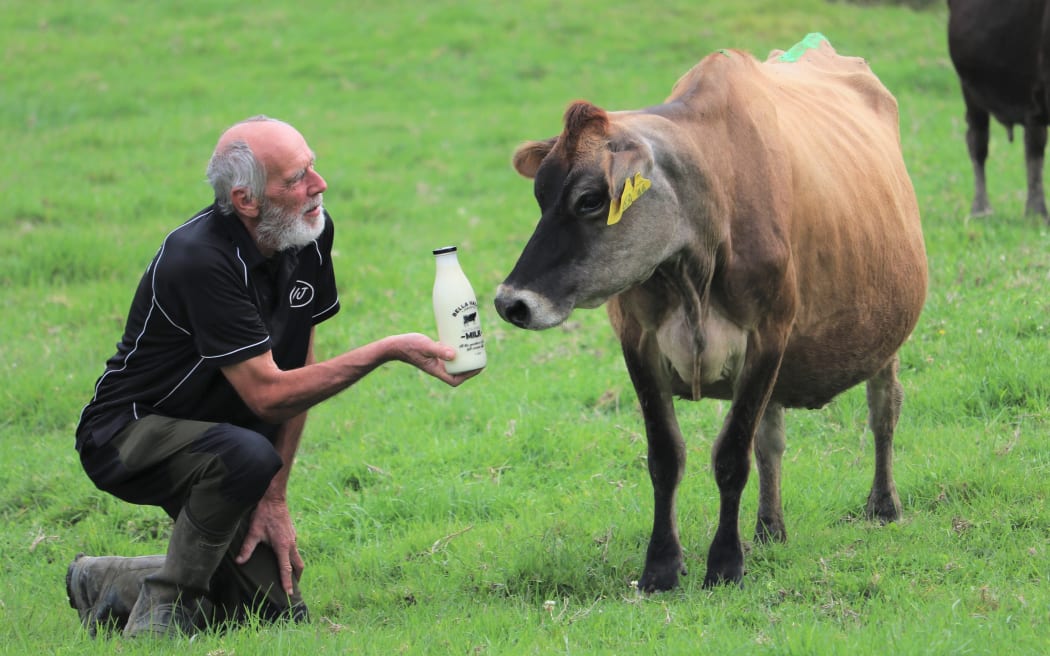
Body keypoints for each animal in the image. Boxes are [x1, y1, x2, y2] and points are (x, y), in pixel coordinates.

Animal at [493, 34, 928, 591]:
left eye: (590, 199)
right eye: (540, 195)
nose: (511, 302)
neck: (692, 267)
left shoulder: (768, 337)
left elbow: (731, 455)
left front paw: (724, 563)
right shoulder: (638, 342)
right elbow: (667, 455)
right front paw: (661, 565)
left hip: (887, 336)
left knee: (884, 410)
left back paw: (883, 504)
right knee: (772, 439)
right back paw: (769, 528)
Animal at [947, 0, 1050, 221]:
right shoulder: (1037, 94)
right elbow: (1034, 152)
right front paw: (1036, 214)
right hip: (970, 90)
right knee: (978, 143)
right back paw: (981, 208)